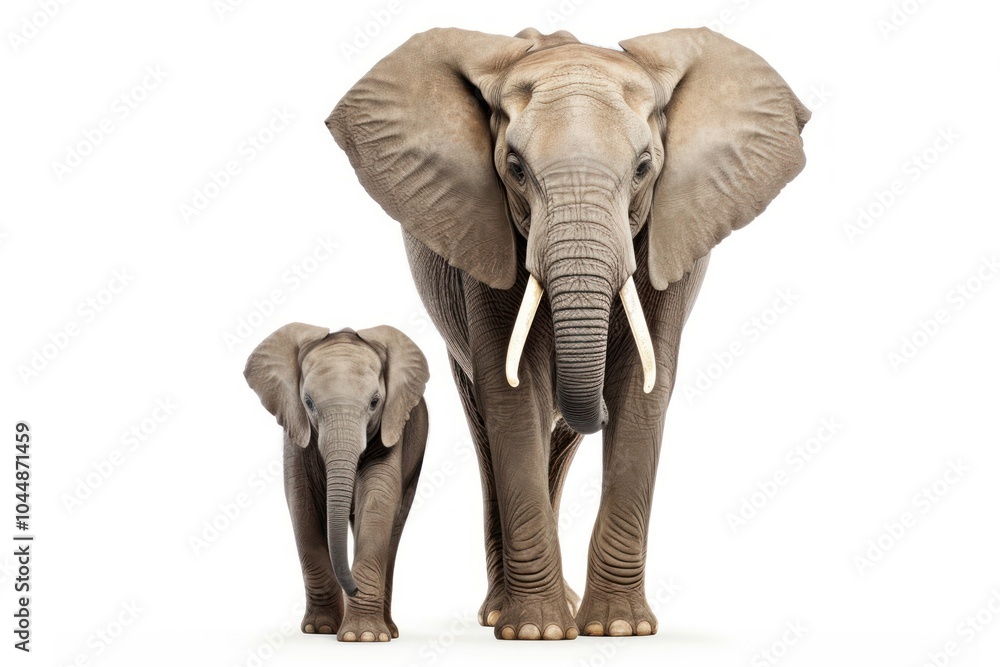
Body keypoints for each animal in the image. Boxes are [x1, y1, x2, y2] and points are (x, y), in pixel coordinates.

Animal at [244, 323, 429, 642]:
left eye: (374, 402)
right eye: (308, 402)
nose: (352, 587)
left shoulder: (392, 429)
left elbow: (378, 501)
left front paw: (363, 637)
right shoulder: (296, 431)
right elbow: (302, 504)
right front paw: (320, 629)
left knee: (394, 528)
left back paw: (390, 631)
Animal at [327, 27, 808, 640]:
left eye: (644, 167)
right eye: (514, 168)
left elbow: (644, 391)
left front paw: (617, 628)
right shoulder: (486, 242)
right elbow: (512, 393)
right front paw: (537, 633)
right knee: (491, 431)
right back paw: (501, 612)